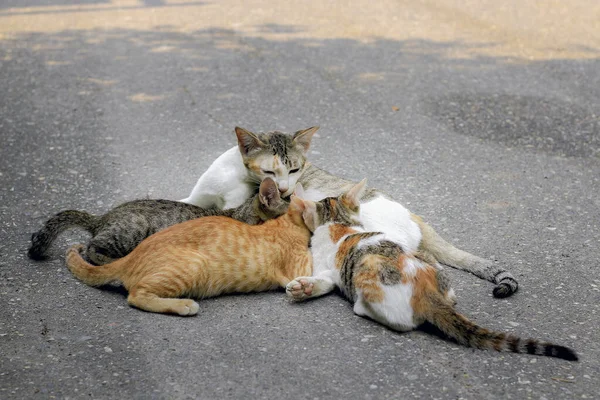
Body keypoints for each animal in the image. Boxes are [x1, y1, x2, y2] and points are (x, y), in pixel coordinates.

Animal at [288, 181, 580, 362]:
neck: (340, 223)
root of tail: (429, 292)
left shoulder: (326, 263)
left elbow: (324, 276)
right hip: (430, 264)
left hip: (372, 275)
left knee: (401, 322)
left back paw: (362, 308)